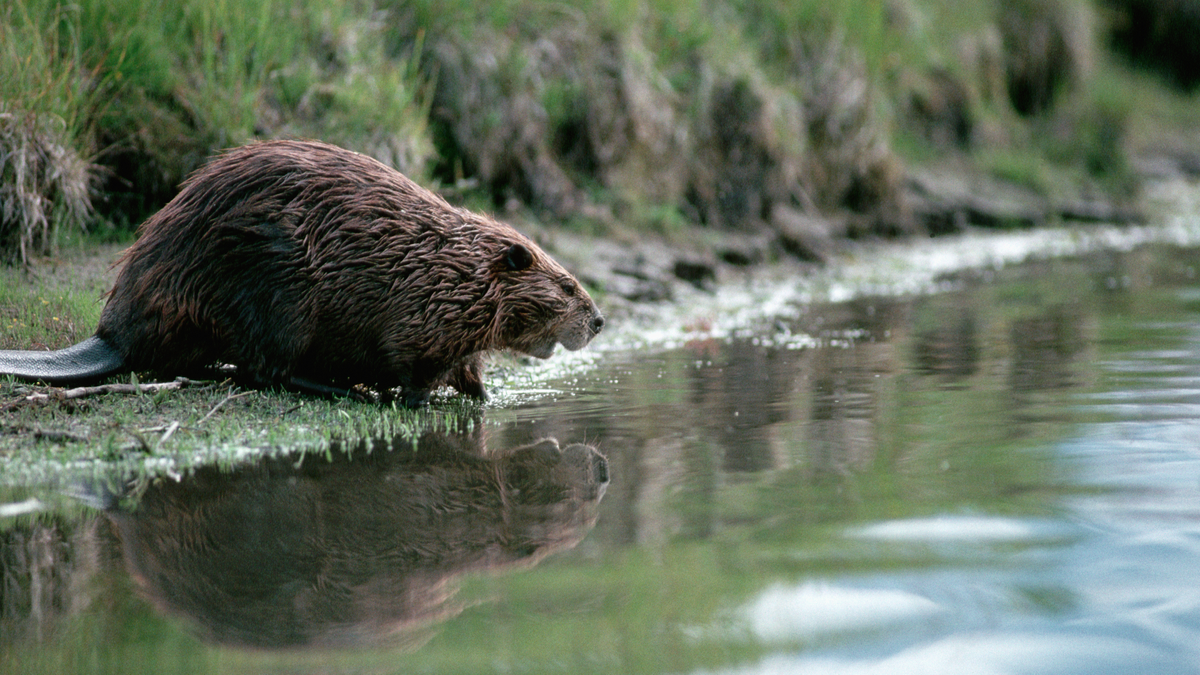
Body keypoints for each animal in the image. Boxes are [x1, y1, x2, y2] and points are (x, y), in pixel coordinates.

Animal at [0, 139, 600, 403]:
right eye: (568, 285)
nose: (598, 321)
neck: (449, 264)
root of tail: (113, 336)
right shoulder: (420, 315)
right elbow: (412, 366)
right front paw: (413, 396)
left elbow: (469, 374)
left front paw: (486, 398)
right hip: (276, 290)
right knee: (267, 369)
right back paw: (350, 390)